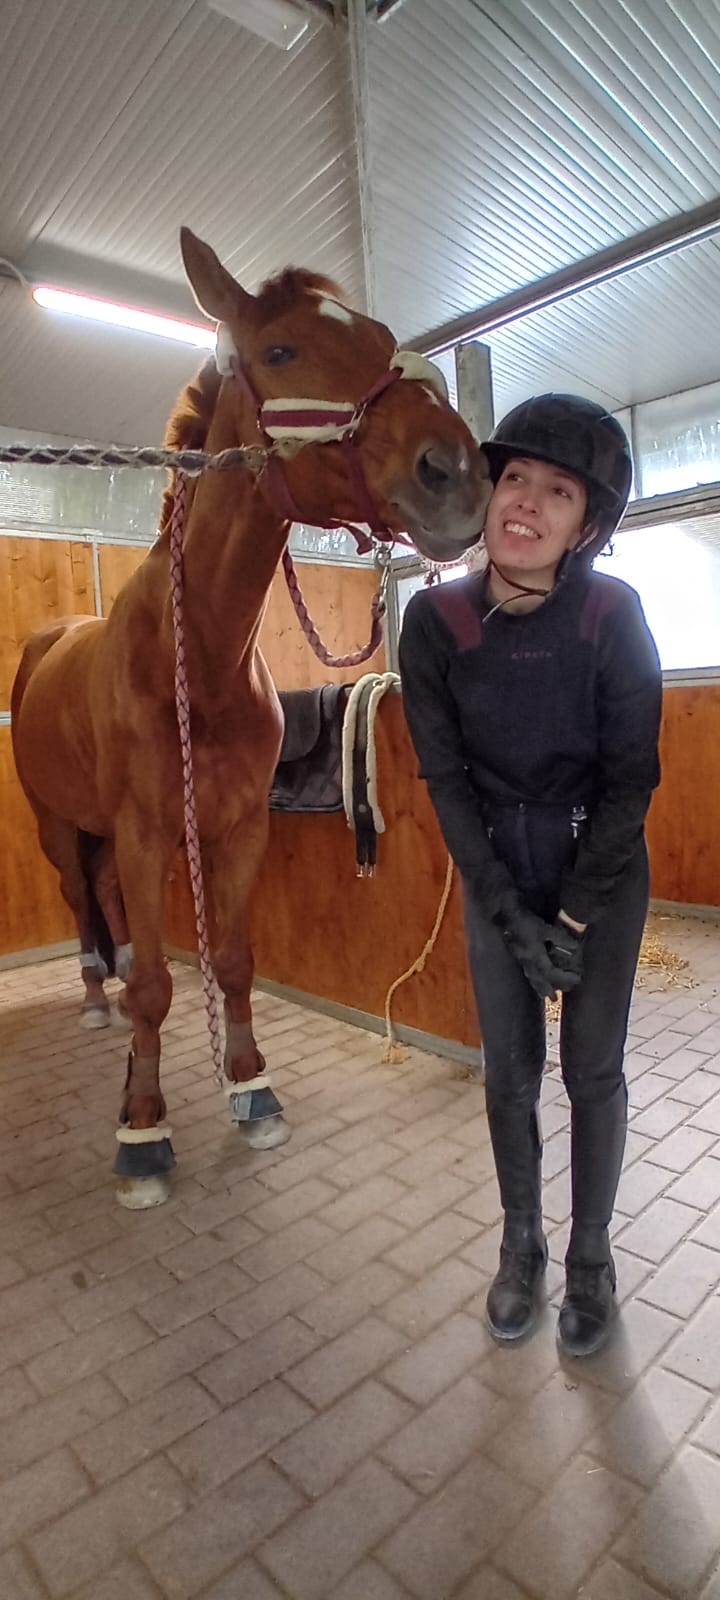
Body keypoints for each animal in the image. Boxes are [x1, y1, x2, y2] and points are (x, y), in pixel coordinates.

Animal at [11, 226, 492, 1208]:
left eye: (382, 336)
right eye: (279, 353)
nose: (457, 474)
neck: (196, 660)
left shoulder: (234, 830)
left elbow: (229, 963)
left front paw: (250, 1088)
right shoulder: (147, 833)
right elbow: (159, 992)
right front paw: (142, 1130)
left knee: (106, 903)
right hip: (58, 824)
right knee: (82, 901)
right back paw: (95, 994)